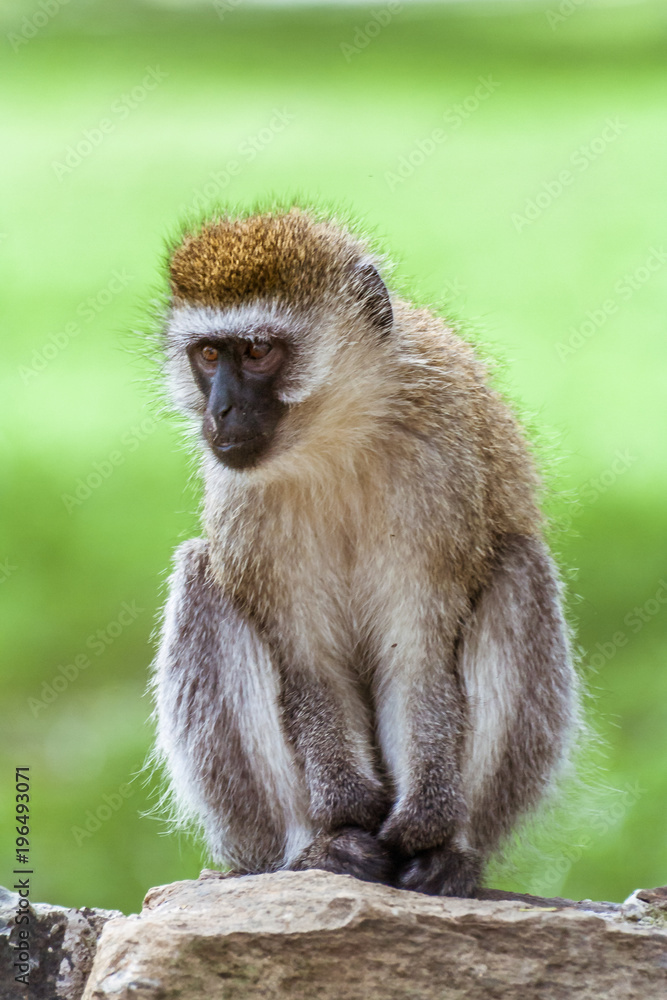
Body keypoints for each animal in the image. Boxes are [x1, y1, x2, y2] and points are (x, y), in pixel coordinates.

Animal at [150, 207, 576, 896]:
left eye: (259, 351)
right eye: (209, 354)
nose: (221, 411)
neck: (337, 435)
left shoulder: (441, 464)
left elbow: (418, 654)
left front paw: (426, 820)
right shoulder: (243, 496)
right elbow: (308, 661)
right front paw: (348, 810)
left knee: (520, 567)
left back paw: (452, 853)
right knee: (201, 580)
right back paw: (314, 849)